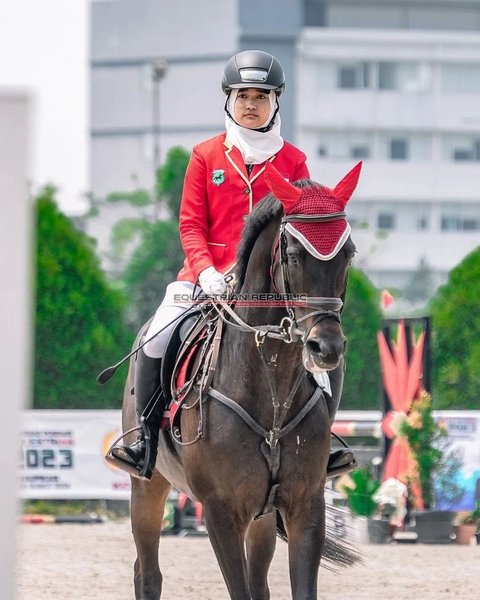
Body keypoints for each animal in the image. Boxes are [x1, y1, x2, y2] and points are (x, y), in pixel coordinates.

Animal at [119, 162, 360, 596]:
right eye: (293, 255)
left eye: (348, 254)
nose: (327, 348)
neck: (271, 391)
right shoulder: (220, 511)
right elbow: (238, 587)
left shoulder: (305, 506)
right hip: (147, 488)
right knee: (147, 573)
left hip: (262, 517)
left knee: (258, 578)